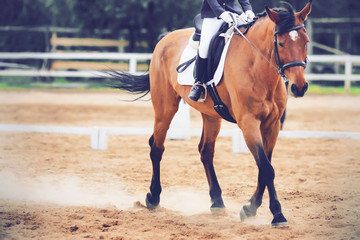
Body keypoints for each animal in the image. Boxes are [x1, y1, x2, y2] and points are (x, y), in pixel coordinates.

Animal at [112, 1, 312, 227]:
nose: (299, 87)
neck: (258, 68)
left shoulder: (272, 125)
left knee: (205, 151)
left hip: (211, 115)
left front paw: (252, 209)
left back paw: (217, 201)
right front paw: (276, 214)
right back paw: (152, 198)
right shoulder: (249, 124)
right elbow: (266, 168)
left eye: (305, 41)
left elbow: (265, 167)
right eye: (281, 44)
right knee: (157, 147)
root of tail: (166, 38)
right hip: (165, 107)